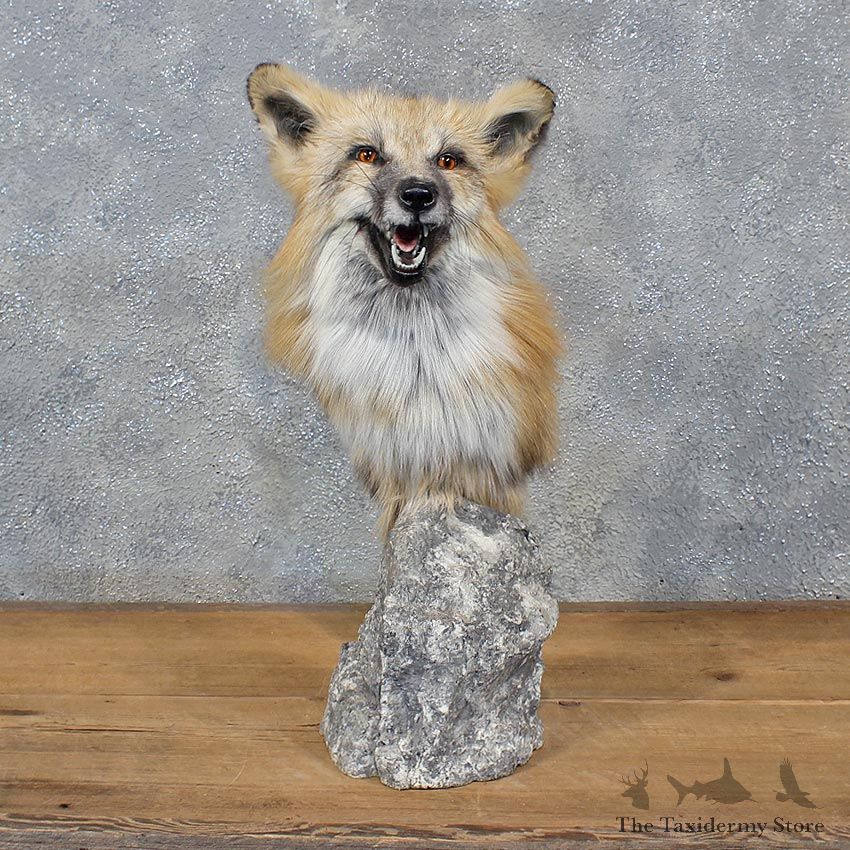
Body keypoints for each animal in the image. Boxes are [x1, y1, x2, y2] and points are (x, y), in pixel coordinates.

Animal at [247, 63, 563, 540]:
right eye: (367, 155)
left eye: (448, 160)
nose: (417, 195)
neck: (416, 368)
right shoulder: (391, 467)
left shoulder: (488, 467)